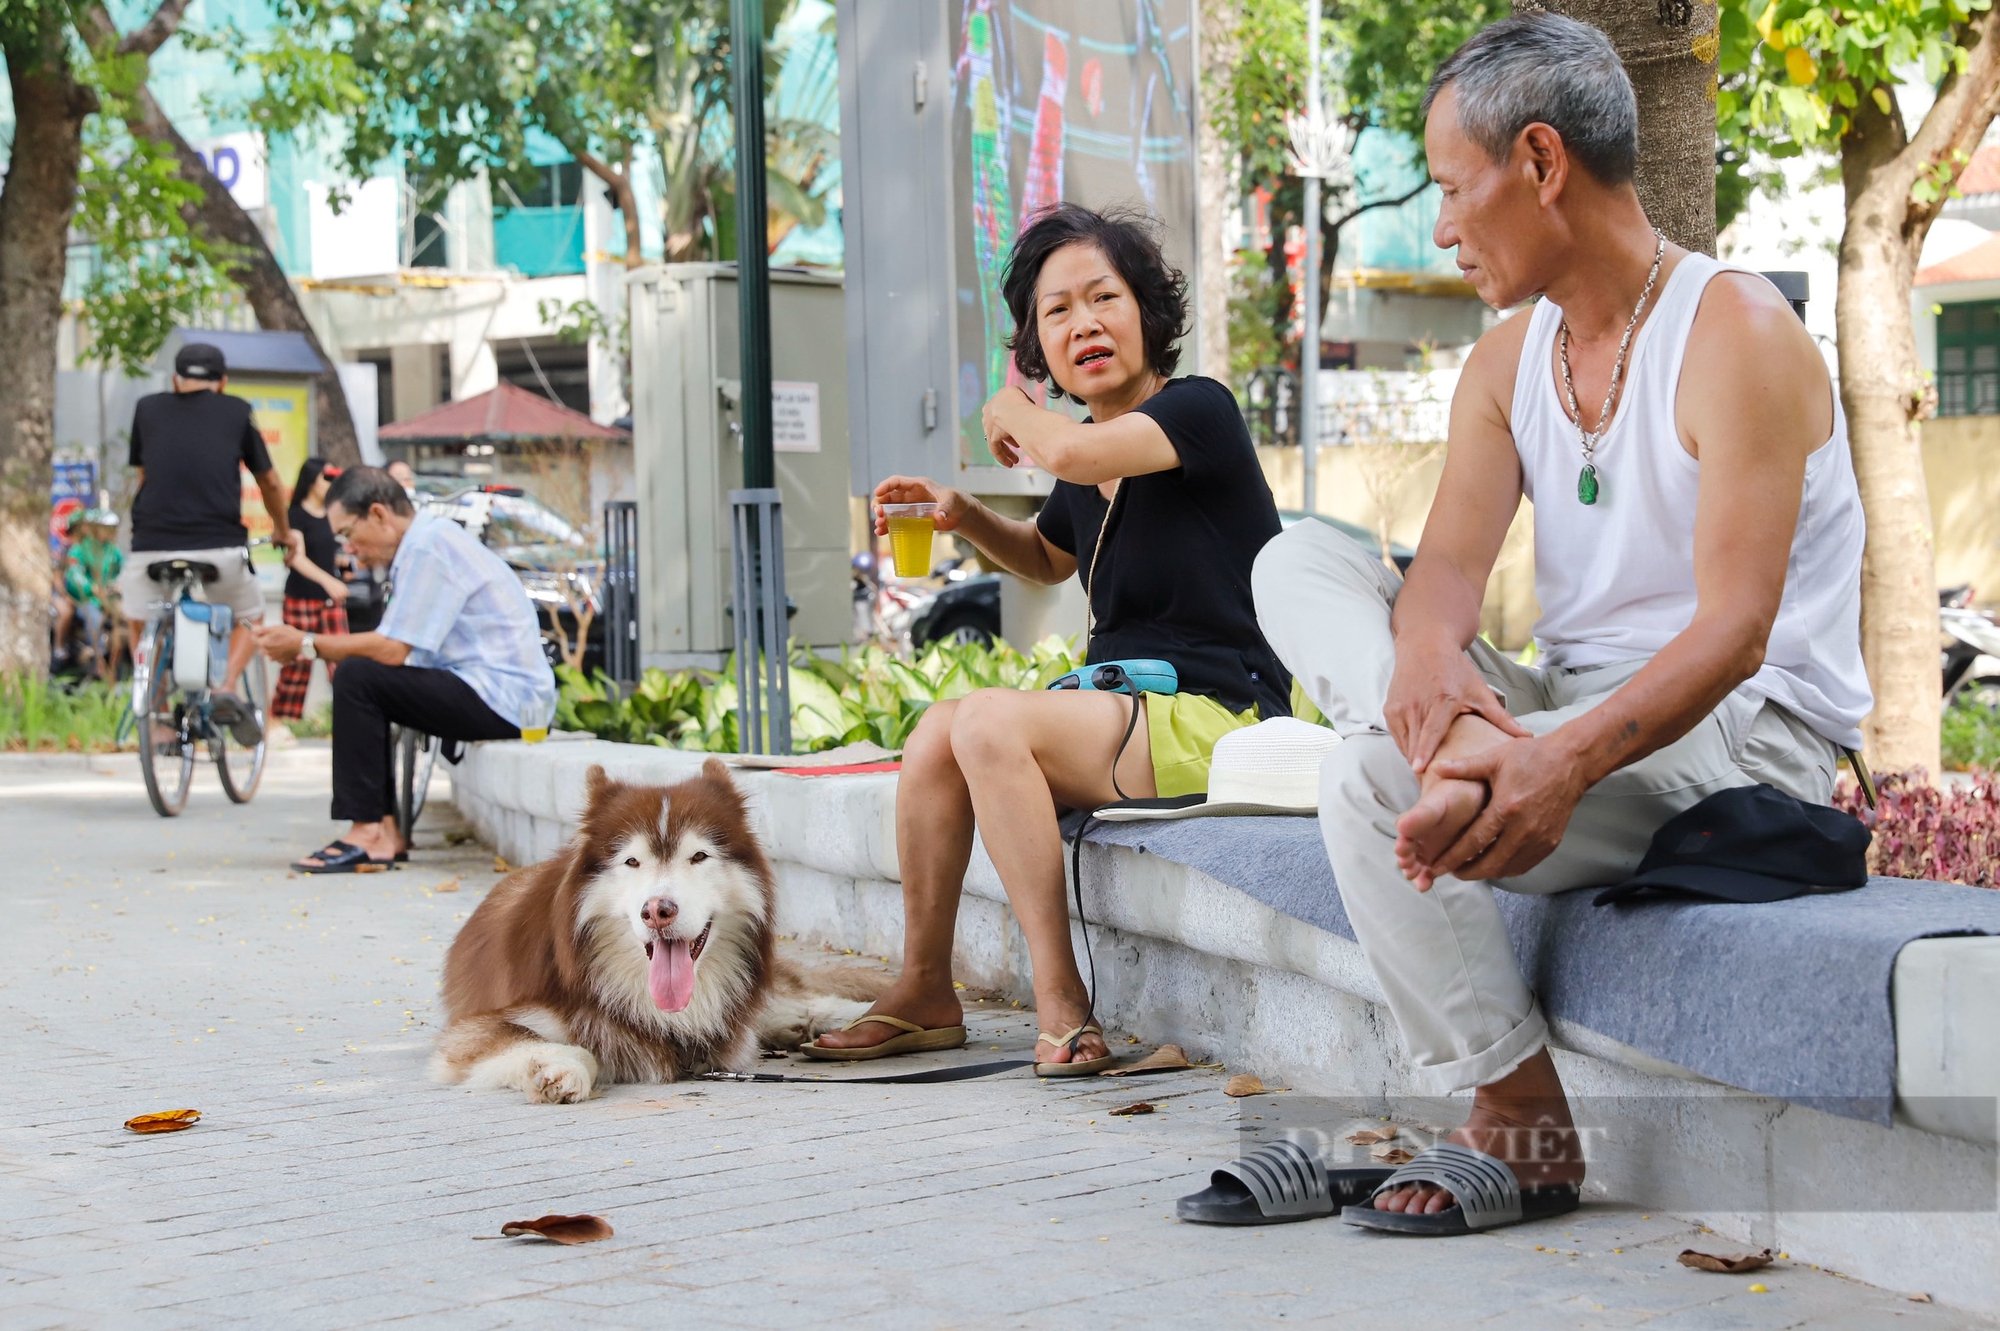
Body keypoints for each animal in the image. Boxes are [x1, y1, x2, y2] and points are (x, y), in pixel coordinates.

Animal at [438, 755, 876, 1095]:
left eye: (698, 856)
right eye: (632, 861)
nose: (657, 910)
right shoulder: (476, 1028)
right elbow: (538, 1039)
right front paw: (561, 1068)